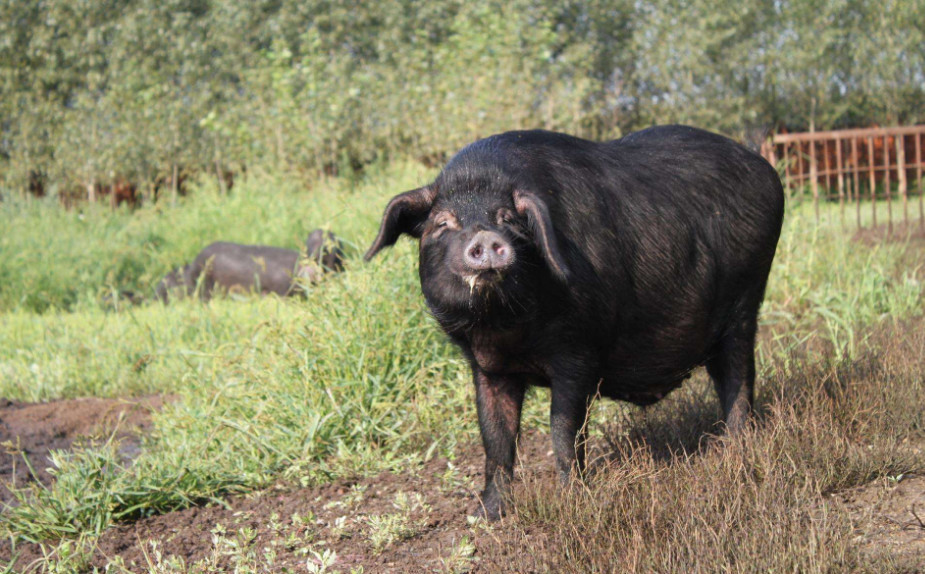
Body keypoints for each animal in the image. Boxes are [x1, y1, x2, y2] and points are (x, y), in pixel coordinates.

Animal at [364, 126, 784, 520]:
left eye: (509, 219)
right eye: (443, 223)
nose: (485, 237)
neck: (506, 329)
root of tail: (764, 168)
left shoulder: (578, 350)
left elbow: (564, 429)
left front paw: (572, 503)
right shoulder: (487, 366)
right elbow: (495, 437)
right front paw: (485, 515)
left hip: (747, 299)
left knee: (738, 380)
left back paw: (737, 453)